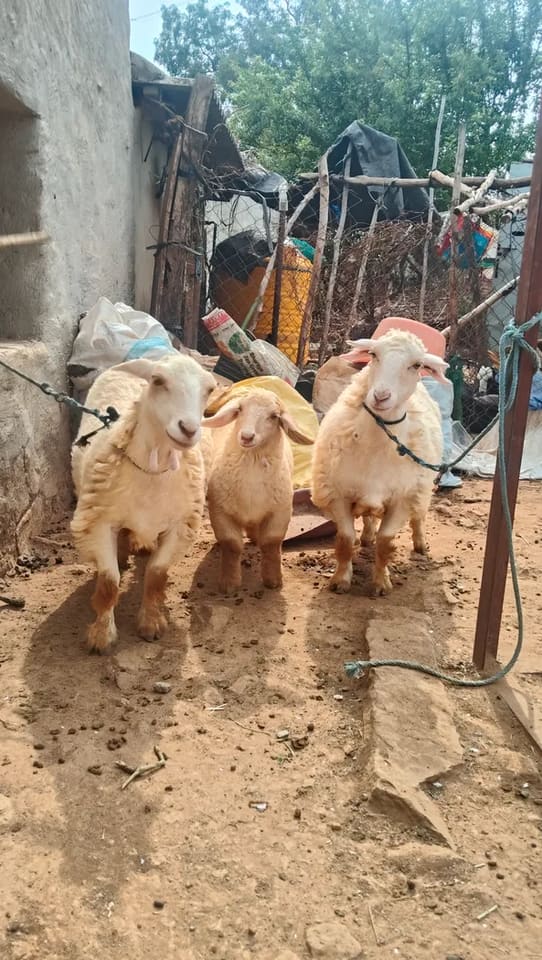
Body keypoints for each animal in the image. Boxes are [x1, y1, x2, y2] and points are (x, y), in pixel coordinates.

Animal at [71, 353, 216, 652]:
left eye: (209, 389)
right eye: (158, 381)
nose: (188, 429)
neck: (153, 472)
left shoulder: (179, 527)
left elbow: (156, 574)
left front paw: (151, 623)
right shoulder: (100, 523)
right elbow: (109, 583)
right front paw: (101, 635)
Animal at [202, 387, 314, 594]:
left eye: (274, 416)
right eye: (240, 409)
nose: (246, 436)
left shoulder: (280, 512)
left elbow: (271, 543)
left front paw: (273, 580)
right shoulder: (220, 511)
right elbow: (231, 545)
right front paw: (229, 583)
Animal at [311, 329, 448, 595]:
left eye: (416, 365)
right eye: (374, 355)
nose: (381, 396)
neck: (375, 445)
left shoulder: (401, 501)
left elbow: (385, 543)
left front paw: (381, 583)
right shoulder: (339, 494)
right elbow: (346, 540)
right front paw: (341, 580)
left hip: (421, 487)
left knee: (419, 516)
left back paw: (420, 544)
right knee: (368, 517)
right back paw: (366, 536)